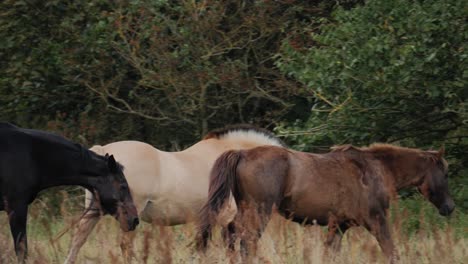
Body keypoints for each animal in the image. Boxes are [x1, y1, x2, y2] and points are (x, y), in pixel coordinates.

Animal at [64, 125, 284, 262]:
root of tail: (104, 151)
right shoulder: (229, 217)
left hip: (96, 211)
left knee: (78, 240)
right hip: (128, 216)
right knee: (125, 246)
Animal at [196, 143, 456, 262]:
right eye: (445, 173)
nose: (449, 207)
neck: (376, 170)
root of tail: (242, 153)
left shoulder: (339, 226)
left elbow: (331, 252)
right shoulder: (376, 220)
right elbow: (391, 250)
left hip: (245, 210)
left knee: (231, 234)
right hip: (259, 212)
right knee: (245, 240)